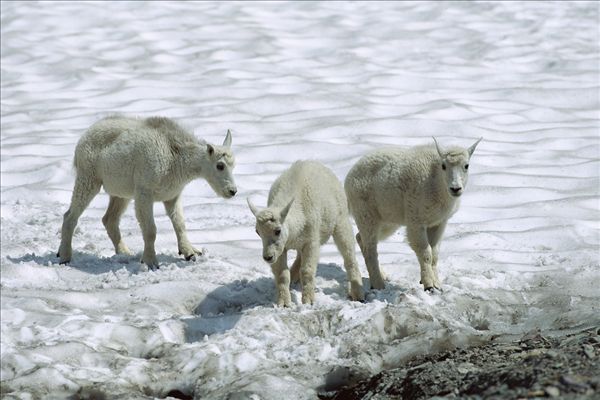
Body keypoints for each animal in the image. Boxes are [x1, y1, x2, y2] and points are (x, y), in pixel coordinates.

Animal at [56, 115, 237, 268]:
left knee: (109, 219)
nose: (232, 191)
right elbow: (150, 230)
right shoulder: (144, 193)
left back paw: (124, 252)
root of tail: (83, 138)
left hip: (121, 192)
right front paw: (150, 262)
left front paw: (190, 253)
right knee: (70, 216)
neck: (177, 159)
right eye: (220, 165)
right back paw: (64, 256)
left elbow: (180, 224)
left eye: (233, 165)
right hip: (88, 179)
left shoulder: (172, 196)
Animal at [247, 159, 366, 306]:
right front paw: (284, 302)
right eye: (257, 232)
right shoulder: (281, 248)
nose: (267, 257)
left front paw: (308, 300)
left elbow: (307, 271)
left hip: (340, 221)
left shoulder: (311, 242)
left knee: (349, 255)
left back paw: (357, 293)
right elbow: (282, 274)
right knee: (299, 258)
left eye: (277, 230)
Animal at [344, 138, 480, 290]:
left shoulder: (439, 222)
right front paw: (428, 284)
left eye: (466, 166)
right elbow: (425, 252)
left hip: (387, 220)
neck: (436, 183)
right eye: (444, 166)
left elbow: (435, 254)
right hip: (366, 214)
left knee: (360, 238)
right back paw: (378, 284)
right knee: (370, 249)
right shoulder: (416, 220)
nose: (455, 188)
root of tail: (348, 177)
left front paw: (437, 284)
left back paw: (382, 275)